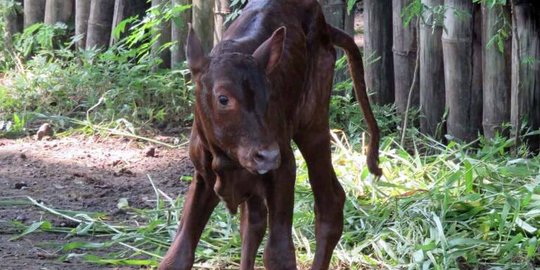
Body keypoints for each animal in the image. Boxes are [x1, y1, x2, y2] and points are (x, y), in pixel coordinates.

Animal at [159, 1, 380, 268]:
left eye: (269, 95)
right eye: (223, 98)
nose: (268, 155)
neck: (228, 160)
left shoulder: (283, 168)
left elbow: (278, 253)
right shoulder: (203, 175)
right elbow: (178, 253)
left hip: (313, 121)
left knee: (330, 204)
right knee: (253, 222)